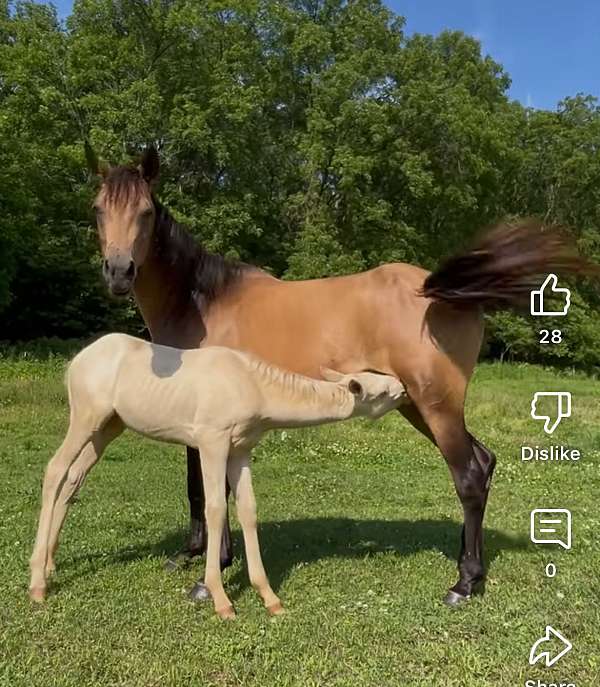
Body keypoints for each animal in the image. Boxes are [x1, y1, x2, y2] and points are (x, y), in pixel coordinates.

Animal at [29, 334, 408, 620]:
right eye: (381, 390)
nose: (404, 387)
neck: (254, 386)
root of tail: (77, 361)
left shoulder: (241, 449)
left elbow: (248, 510)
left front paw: (270, 598)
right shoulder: (212, 440)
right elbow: (214, 509)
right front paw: (221, 600)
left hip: (110, 425)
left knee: (75, 477)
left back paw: (49, 565)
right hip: (86, 415)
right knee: (55, 470)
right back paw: (37, 584)